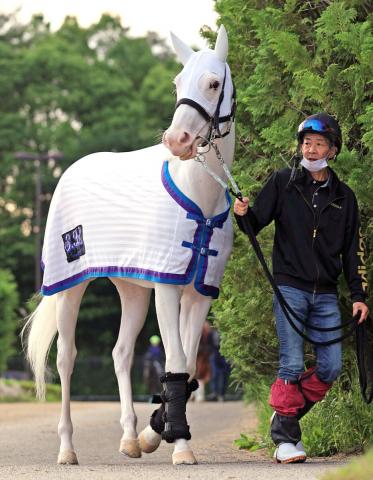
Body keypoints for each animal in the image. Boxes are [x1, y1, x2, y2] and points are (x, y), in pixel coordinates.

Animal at [21, 25, 234, 464]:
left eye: (213, 83)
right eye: (177, 83)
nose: (177, 140)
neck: (200, 196)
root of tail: (69, 170)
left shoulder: (199, 293)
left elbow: (188, 366)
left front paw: (157, 434)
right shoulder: (167, 288)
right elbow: (174, 360)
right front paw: (181, 448)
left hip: (132, 289)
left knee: (120, 353)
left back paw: (130, 438)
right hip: (70, 286)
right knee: (66, 358)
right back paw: (67, 449)